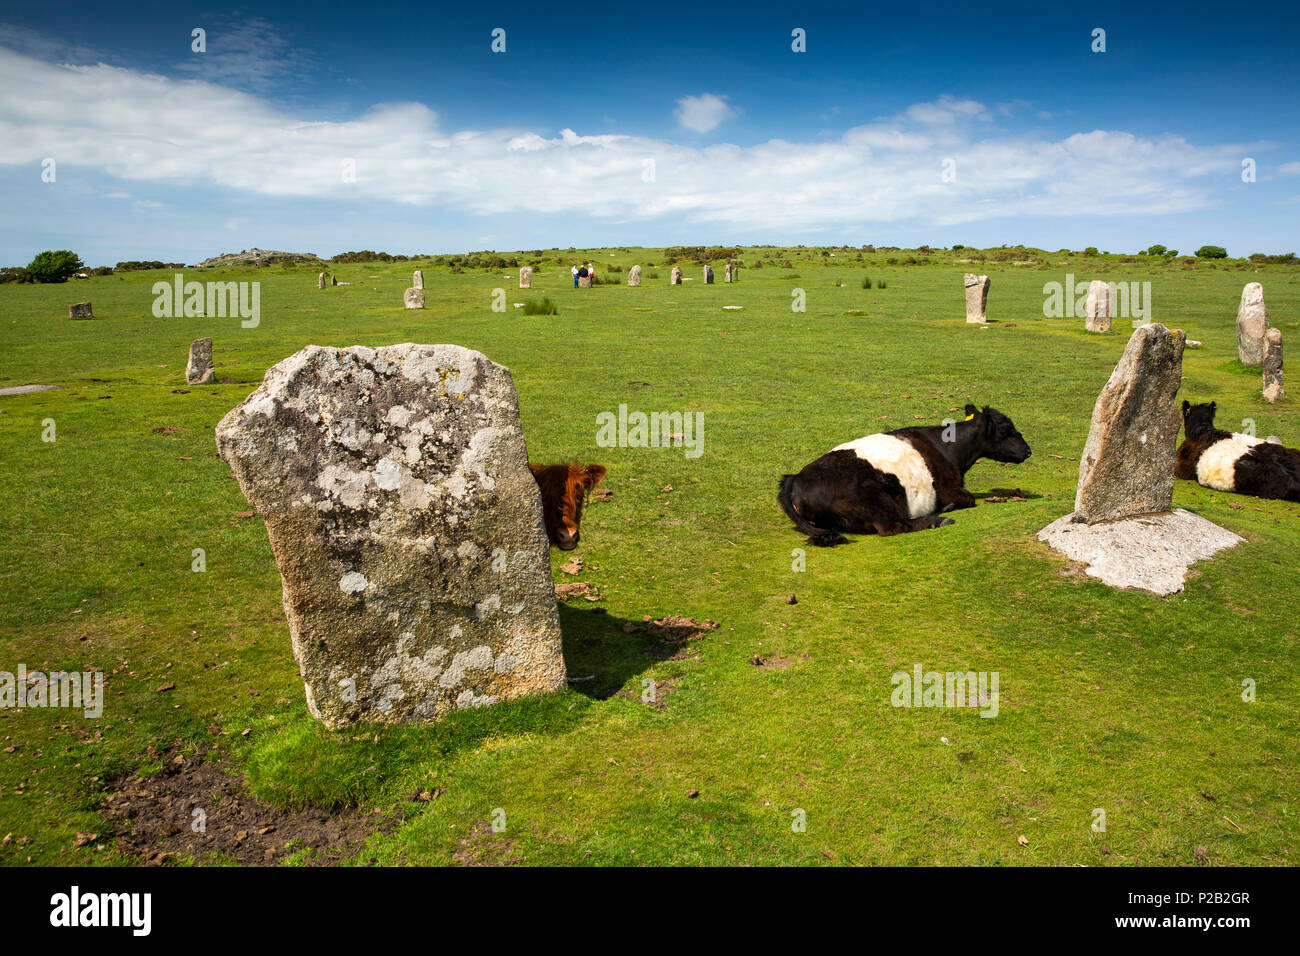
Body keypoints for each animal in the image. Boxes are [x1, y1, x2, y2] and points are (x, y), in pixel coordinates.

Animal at [774, 405, 1029, 546]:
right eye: (1006, 429)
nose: (1028, 450)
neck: (949, 449)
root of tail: (794, 478)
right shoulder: (949, 487)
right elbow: (969, 498)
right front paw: (947, 508)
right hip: (874, 498)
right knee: (893, 526)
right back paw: (938, 520)